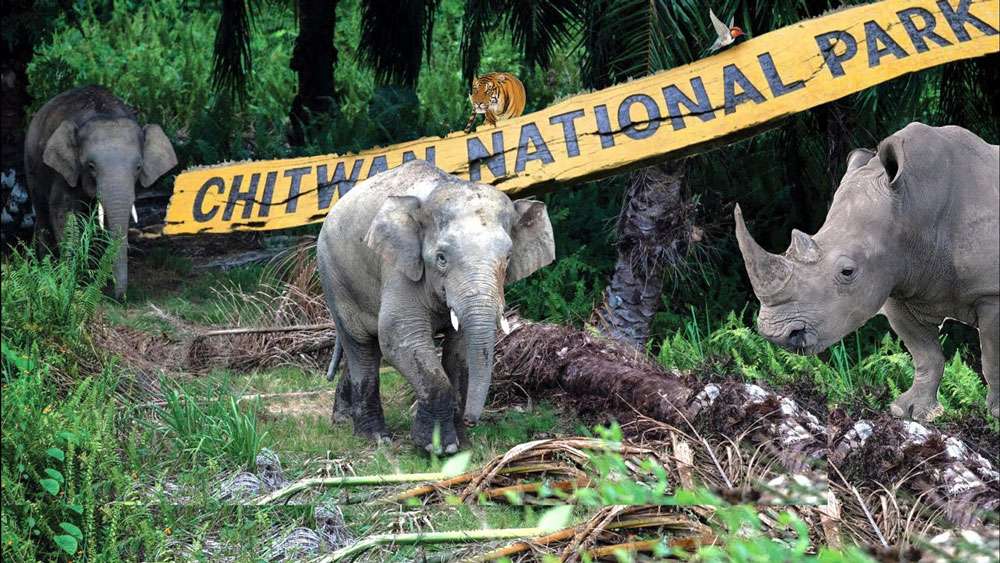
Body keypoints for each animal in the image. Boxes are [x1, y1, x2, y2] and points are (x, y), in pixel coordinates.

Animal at [24, 83, 178, 300]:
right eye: (91, 166)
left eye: (138, 167)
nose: (120, 298)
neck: (103, 114)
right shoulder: (64, 173)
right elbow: (64, 213)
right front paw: (72, 282)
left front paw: (96, 280)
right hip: (31, 166)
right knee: (43, 212)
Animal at [318, 160, 556, 454]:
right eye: (441, 258)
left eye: (508, 257)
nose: (471, 420)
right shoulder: (400, 270)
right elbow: (399, 338)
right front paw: (438, 448)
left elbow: (461, 351)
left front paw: (461, 445)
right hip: (334, 276)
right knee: (362, 345)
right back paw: (375, 437)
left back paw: (342, 420)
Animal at [732, 122, 996, 418]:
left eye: (847, 271)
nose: (775, 335)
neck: (914, 206)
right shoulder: (898, 281)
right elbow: (925, 354)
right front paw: (908, 410)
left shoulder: (990, 293)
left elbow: (991, 359)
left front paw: (996, 412)